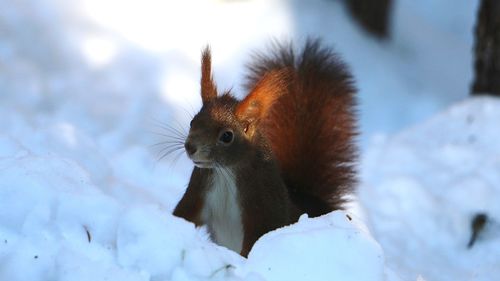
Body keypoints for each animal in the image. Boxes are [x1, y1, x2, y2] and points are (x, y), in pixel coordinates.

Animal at [174, 39, 358, 256]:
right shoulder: (199, 190)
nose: (190, 147)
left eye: (227, 136)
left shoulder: (263, 208)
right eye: (192, 122)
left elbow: (256, 241)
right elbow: (183, 215)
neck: (226, 174)